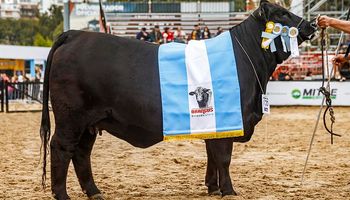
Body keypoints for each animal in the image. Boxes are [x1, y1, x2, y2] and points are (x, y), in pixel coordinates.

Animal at [40, 1, 318, 198]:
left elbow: (212, 155)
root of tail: (75, 34)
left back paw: (94, 192)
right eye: (281, 14)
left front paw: (213, 188)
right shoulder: (229, 120)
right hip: (71, 117)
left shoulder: (213, 123)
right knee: (61, 148)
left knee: (81, 153)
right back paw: (62, 194)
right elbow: (223, 157)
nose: (313, 25)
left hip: (90, 122)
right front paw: (229, 191)